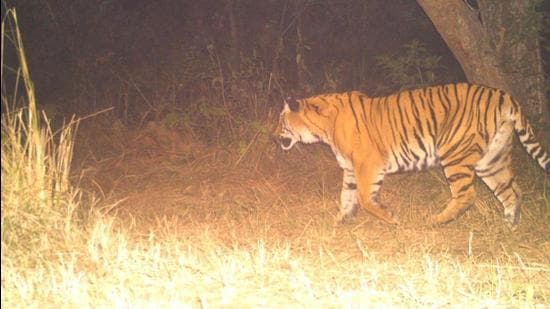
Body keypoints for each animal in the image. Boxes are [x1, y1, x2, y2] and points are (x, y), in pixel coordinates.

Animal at [276, 82, 550, 226]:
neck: (323, 128)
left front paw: (390, 217)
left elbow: (364, 198)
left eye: (281, 121)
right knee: (512, 190)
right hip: (491, 159)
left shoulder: (368, 164)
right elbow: (347, 197)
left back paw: (437, 220)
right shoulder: (351, 169)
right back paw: (510, 225)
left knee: (467, 194)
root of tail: (503, 95)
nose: (274, 137)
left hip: (455, 153)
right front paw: (339, 221)